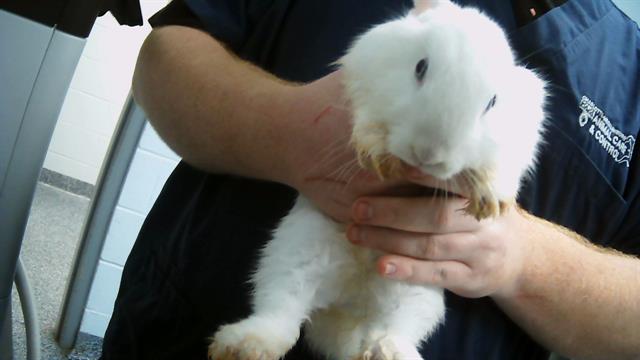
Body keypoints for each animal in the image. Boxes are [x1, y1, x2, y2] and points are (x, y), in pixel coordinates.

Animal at [209, 1, 544, 358]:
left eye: (492, 102)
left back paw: (388, 350)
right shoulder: (364, 73)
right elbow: (369, 115)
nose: (429, 152)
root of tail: (349, 304)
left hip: (414, 290)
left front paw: (490, 200)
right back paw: (243, 345)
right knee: (281, 309)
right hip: (295, 252)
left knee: (390, 328)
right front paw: (375, 153)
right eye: (420, 67)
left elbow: (501, 166)